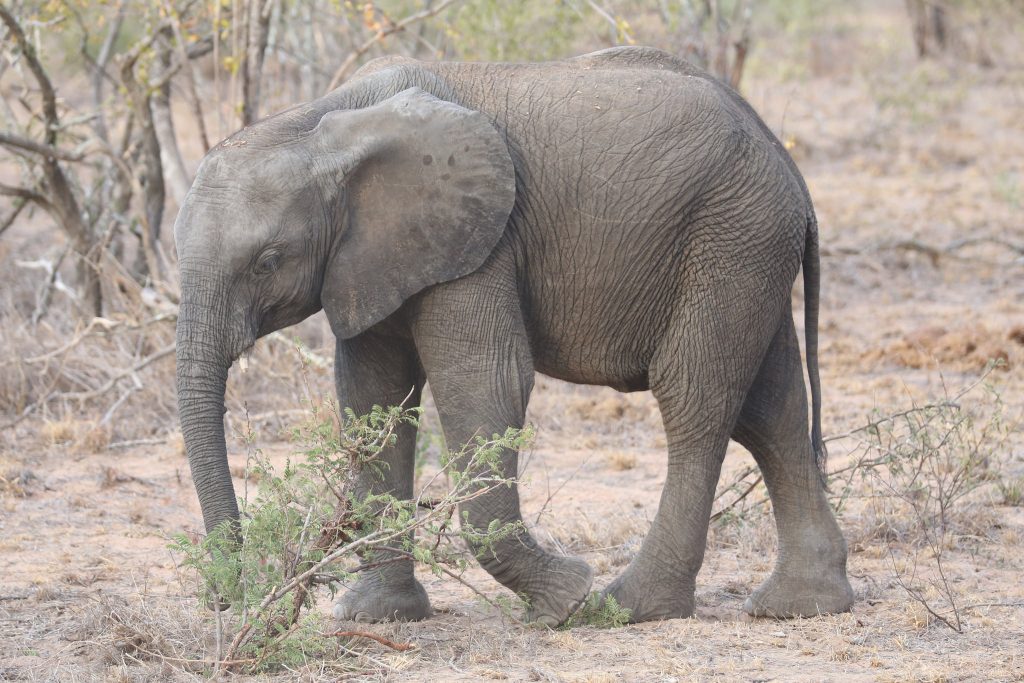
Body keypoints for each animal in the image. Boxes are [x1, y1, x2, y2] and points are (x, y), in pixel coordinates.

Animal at [172, 45, 851, 626]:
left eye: (267, 262)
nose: (233, 597)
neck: (320, 126)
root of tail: (787, 161)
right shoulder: (371, 255)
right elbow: (371, 398)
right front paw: (376, 616)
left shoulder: (481, 241)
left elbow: (484, 382)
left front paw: (564, 600)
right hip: (750, 245)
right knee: (773, 411)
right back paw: (802, 606)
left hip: (731, 236)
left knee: (695, 401)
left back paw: (629, 606)